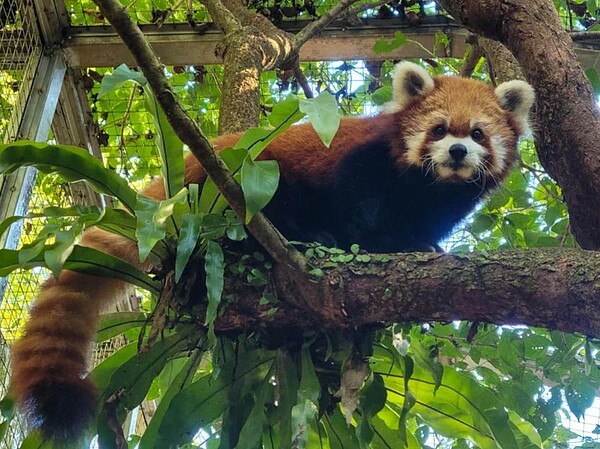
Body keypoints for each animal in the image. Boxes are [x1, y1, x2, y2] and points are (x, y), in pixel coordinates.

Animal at [9, 61, 536, 440]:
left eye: (477, 134)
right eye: (441, 129)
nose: (457, 153)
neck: (430, 189)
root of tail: (163, 199)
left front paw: (422, 245)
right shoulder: (362, 166)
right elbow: (359, 212)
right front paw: (374, 245)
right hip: (231, 190)